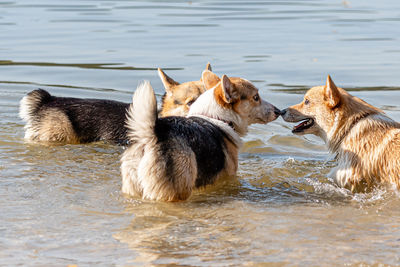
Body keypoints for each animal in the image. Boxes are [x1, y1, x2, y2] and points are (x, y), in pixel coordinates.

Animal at [120, 70, 280, 202]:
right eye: (256, 97)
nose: (279, 111)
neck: (217, 117)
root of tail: (152, 134)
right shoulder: (228, 177)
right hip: (176, 191)